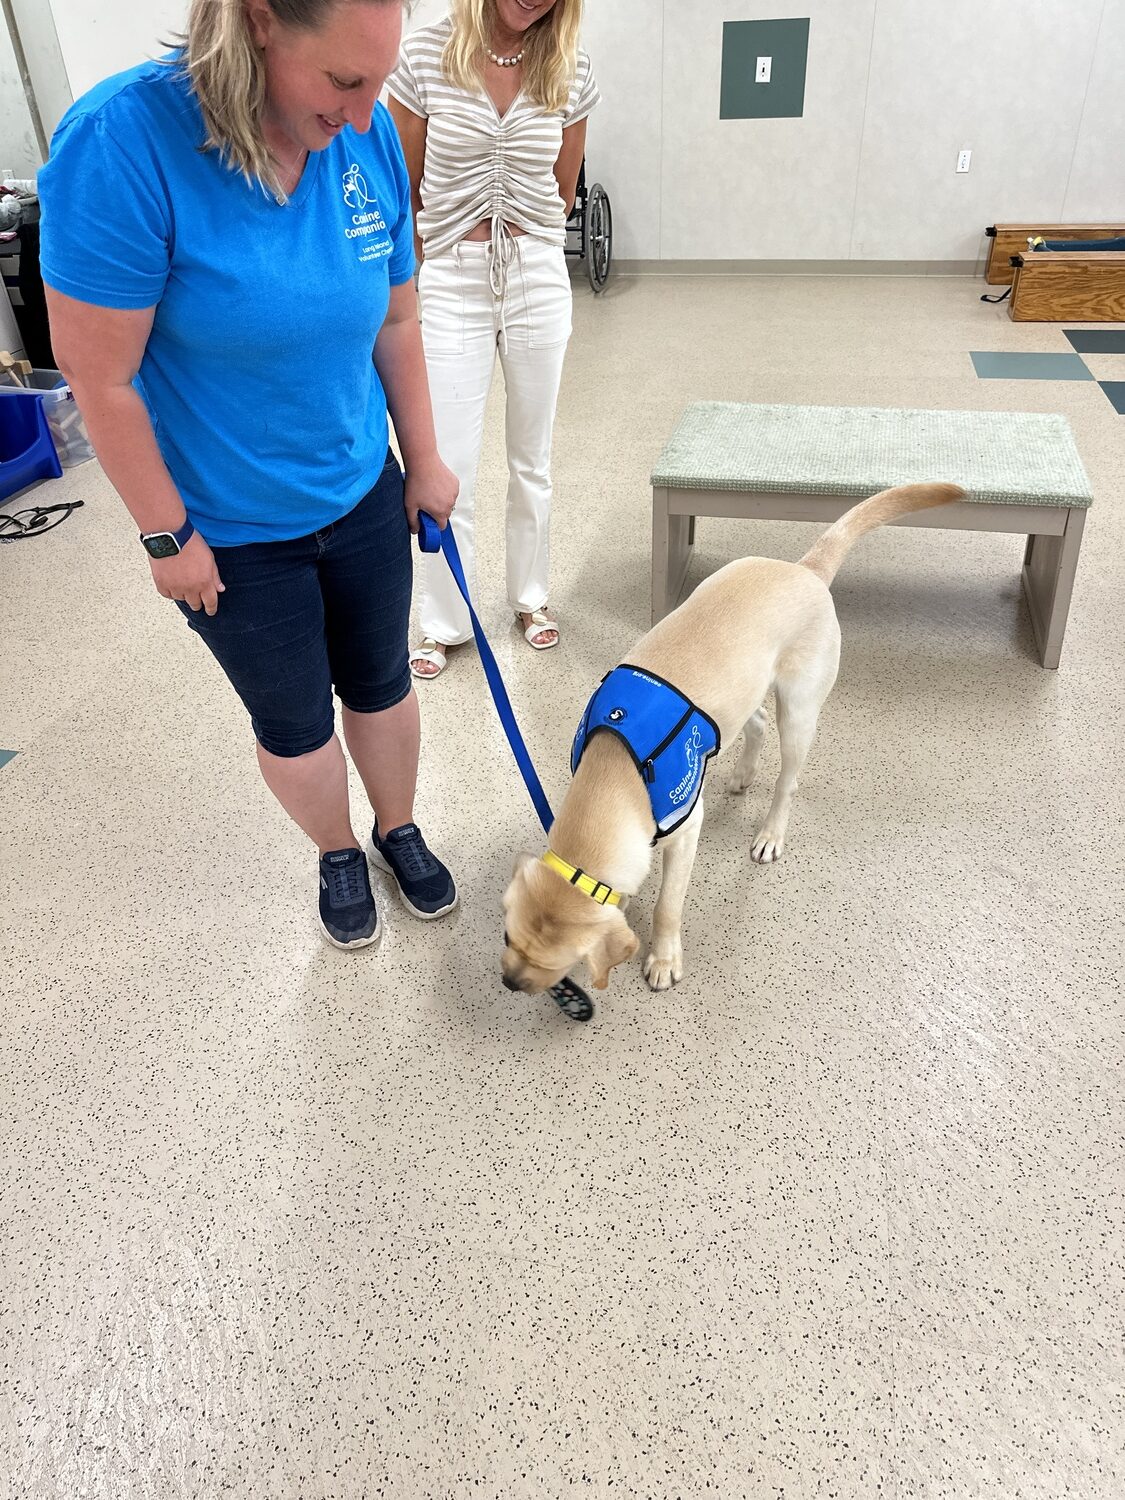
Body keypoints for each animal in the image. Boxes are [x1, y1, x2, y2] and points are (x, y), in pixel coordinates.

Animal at [507, 480, 966, 996]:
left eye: (554, 964)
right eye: (508, 938)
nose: (508, 983)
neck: (616, 765)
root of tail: (805, 569)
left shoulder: (686, 830)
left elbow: (668, 906)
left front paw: (664, 958)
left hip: (799, 711)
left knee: (787, 781)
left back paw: (770, 833)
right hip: (736, 701)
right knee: (758, 724)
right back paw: (744, 774)